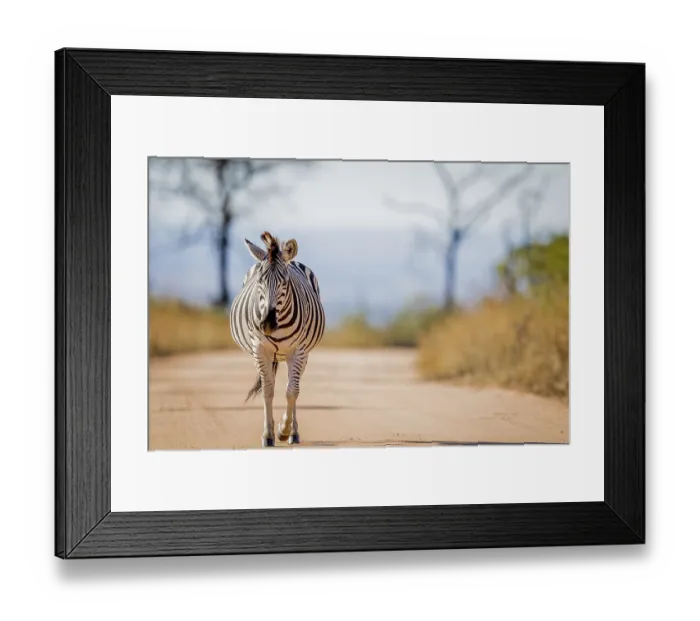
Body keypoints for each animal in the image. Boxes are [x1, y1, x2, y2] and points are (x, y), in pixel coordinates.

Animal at [230, 231, 326, 448]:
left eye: (285, 282)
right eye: (259, 282)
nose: (267, 323)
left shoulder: (298, 351)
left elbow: (292, 392)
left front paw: (284, 430)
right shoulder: (259, 349)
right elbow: (267, 391)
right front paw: (268, 434)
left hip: (300, 355)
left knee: (293, 386)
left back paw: (293, 432)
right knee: (272, 384)